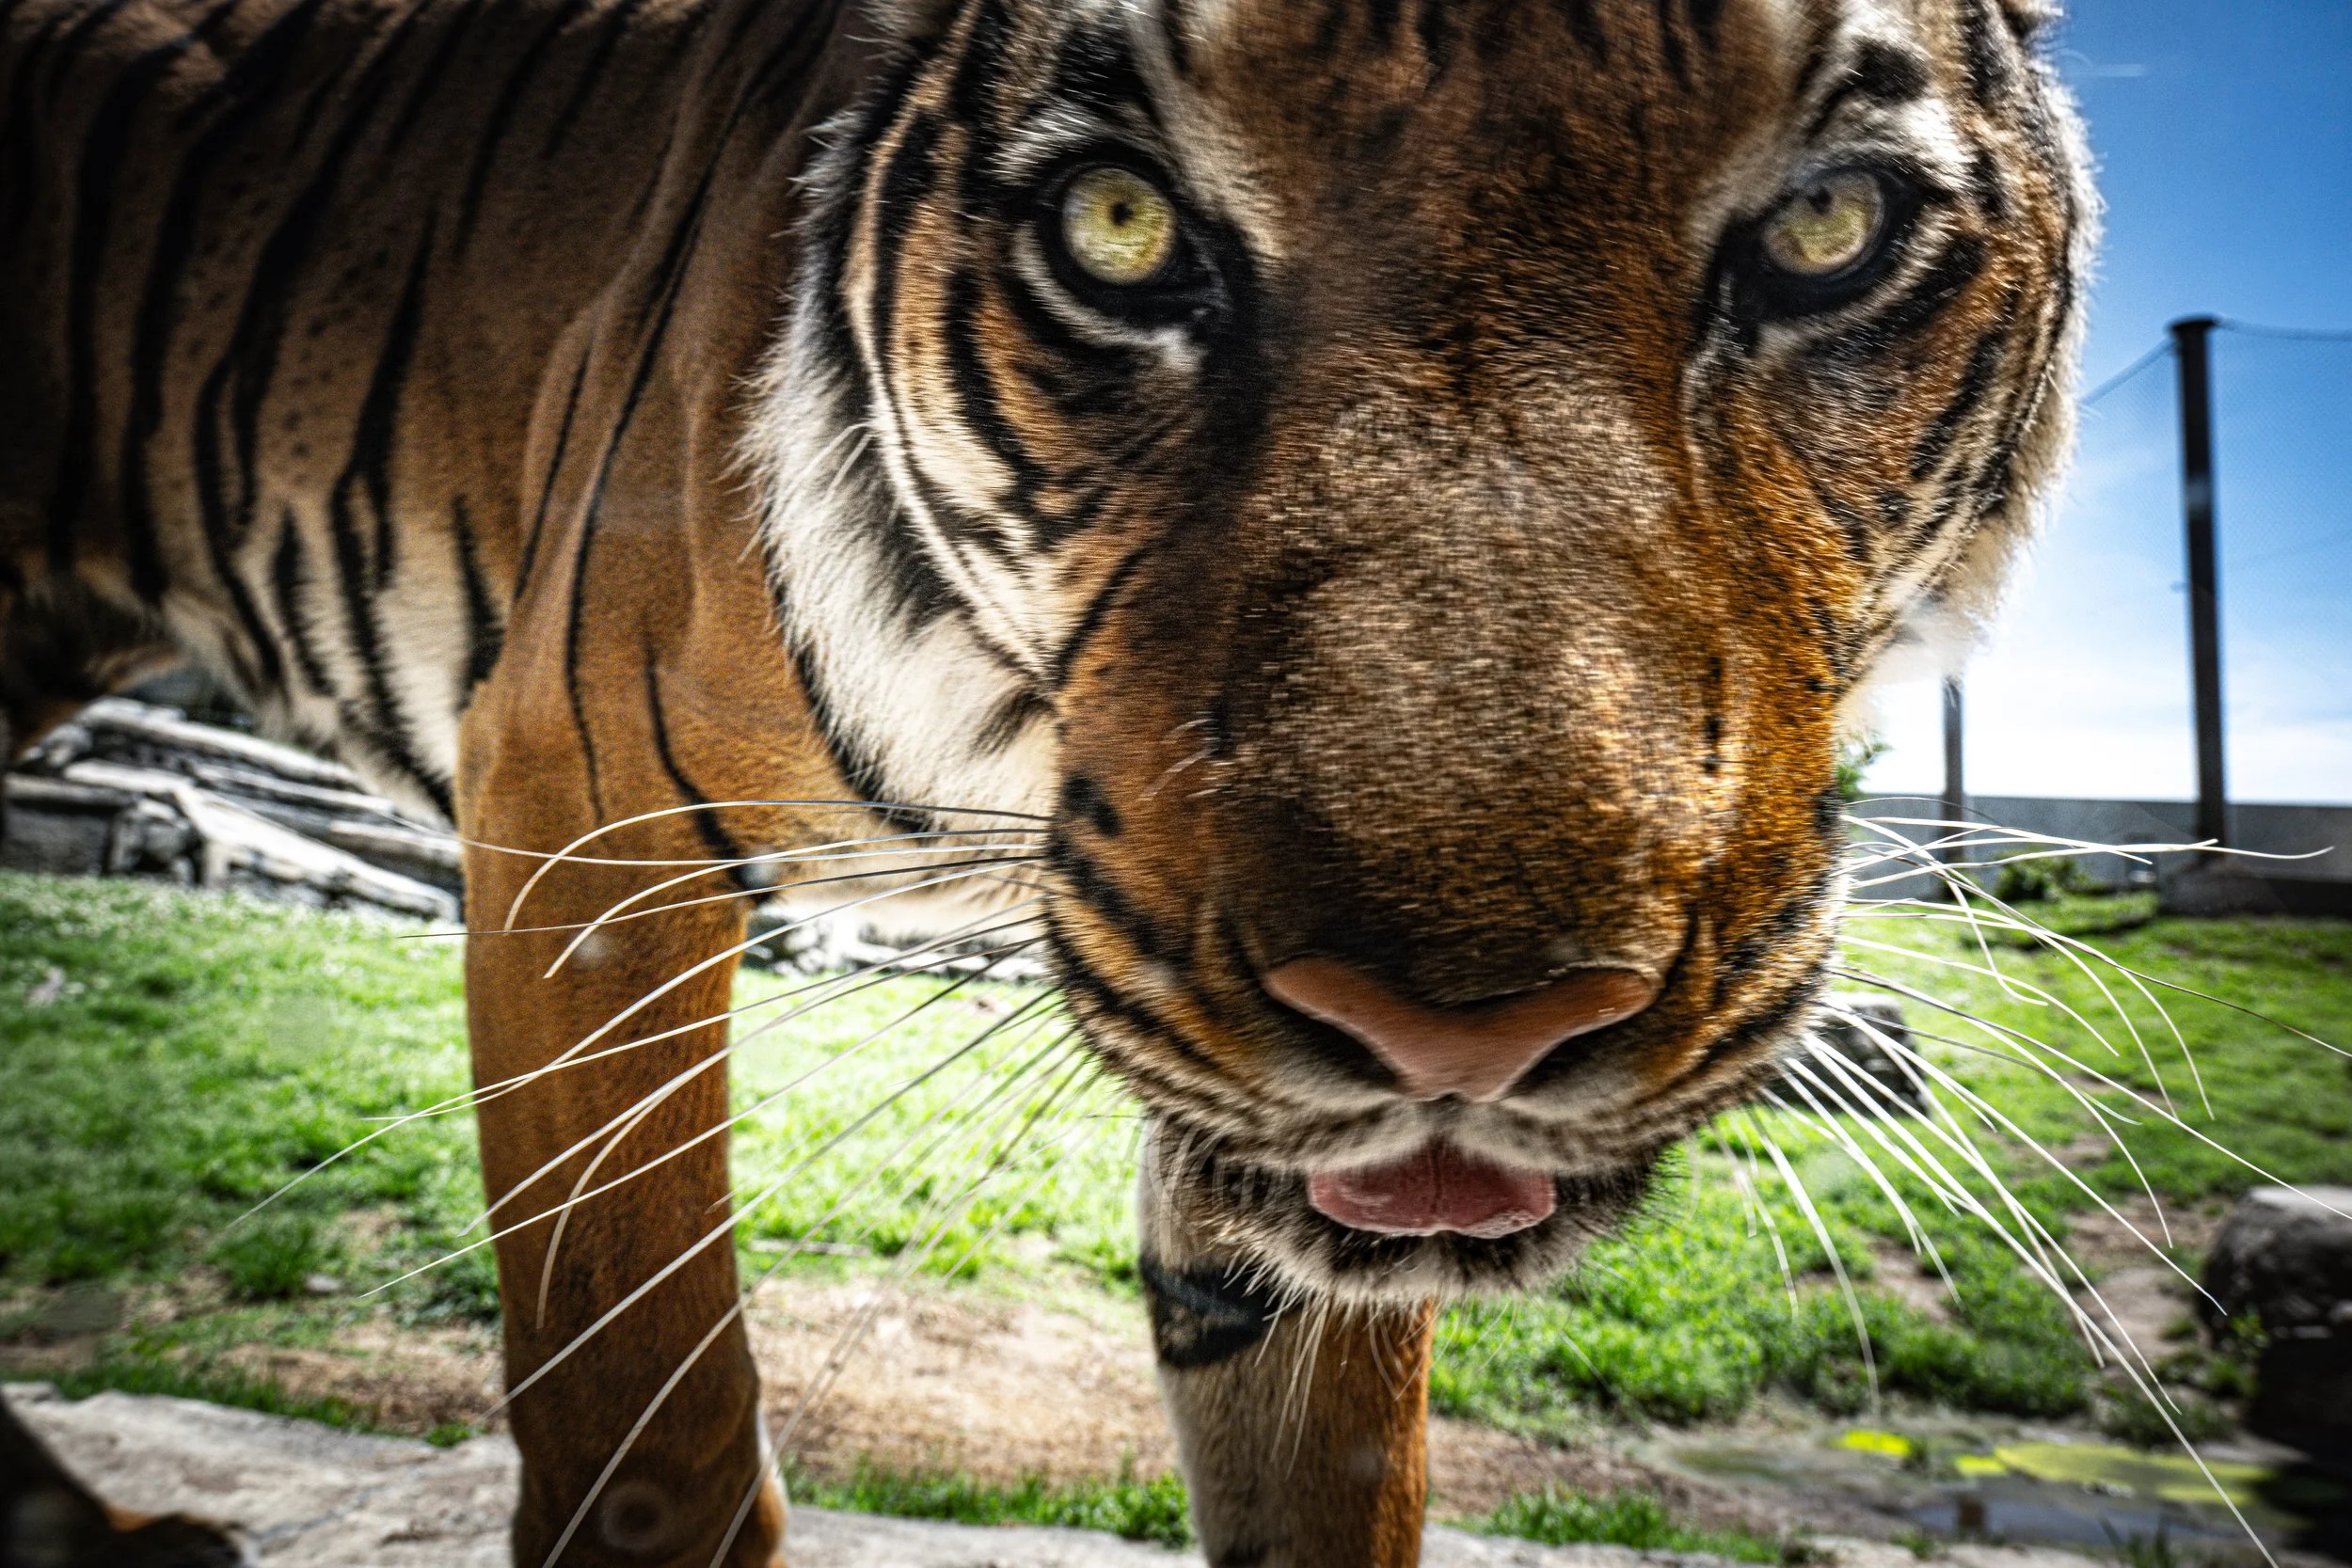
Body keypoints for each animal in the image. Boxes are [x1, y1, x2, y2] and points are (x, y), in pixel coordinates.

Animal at [0, 0, 2093, 1562]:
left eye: (1825, 230)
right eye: (1117, 228)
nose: (1468, 1039)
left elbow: (1329, 1468)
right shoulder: (577, 824)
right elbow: (652, 1441)